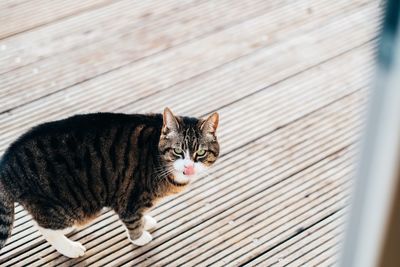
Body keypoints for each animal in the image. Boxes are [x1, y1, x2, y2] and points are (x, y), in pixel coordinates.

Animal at [0, 108, 219, 260]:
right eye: (177, 151)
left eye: (200, 153)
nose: (189, 166)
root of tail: (5, 164)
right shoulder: (129, 200)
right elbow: (133, 221)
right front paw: (140, 237)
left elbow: (141, 217)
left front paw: (146, 221)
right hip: (68, 207)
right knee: (45, 228)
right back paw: (70, 248)